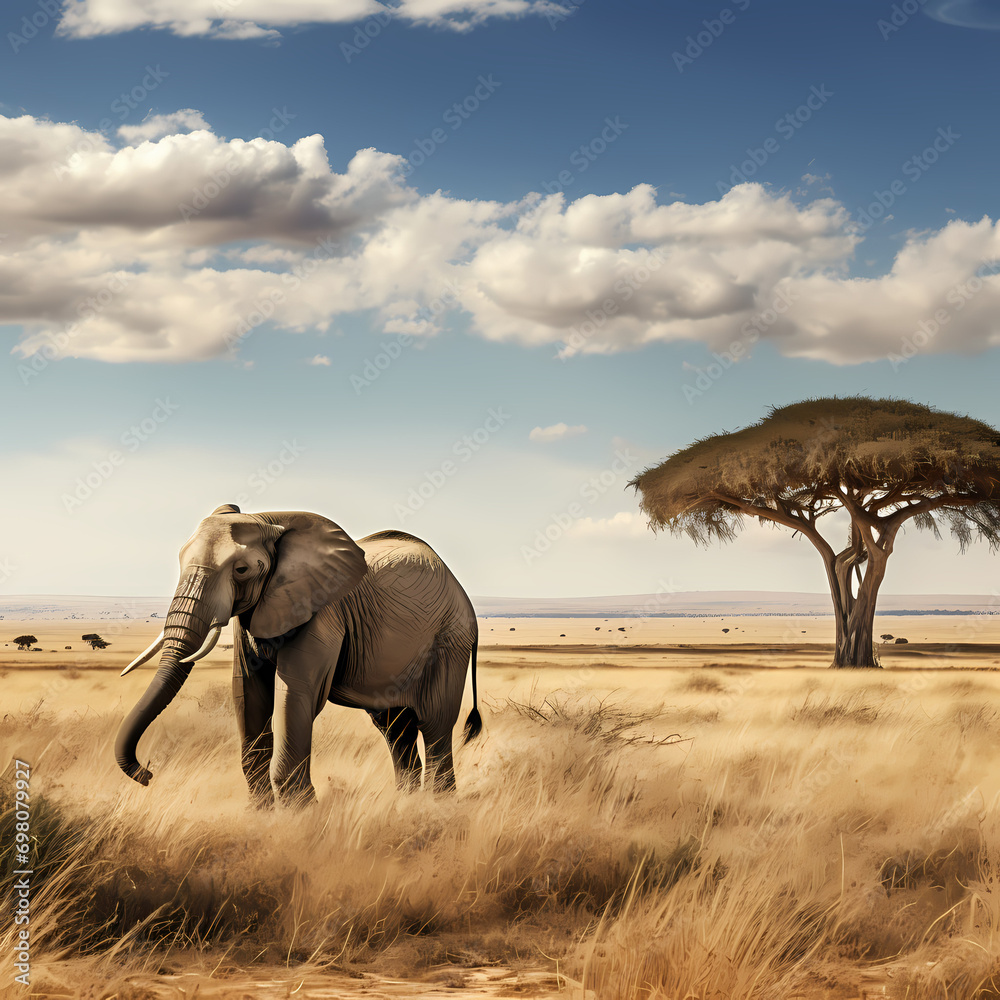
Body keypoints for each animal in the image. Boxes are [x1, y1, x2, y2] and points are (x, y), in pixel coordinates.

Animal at [113, 504, 480, 808]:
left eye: (242, 570)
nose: (147, 773)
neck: (269, 518)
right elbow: (248, 692)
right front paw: (260, 813)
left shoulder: (323, 609)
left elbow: (297, 693)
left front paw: (299, 814)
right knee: (395, 728)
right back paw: (406, 802)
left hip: (449, 640)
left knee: (434, 722)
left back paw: (438, 804)